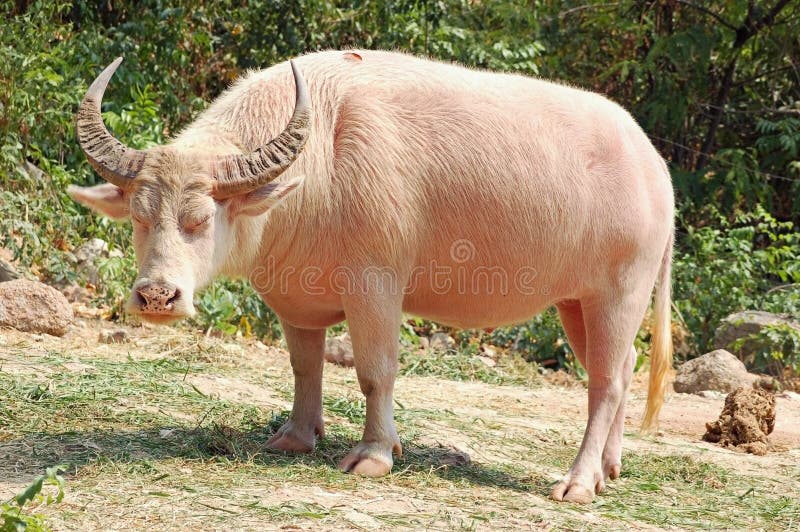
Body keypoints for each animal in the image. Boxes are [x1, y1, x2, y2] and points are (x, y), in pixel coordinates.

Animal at [69, 50, 672, 502]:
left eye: (199, 221)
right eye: (139, 219)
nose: (156, 296)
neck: (322, 161)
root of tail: (656, 169)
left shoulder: (375, 286)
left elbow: (375, 372)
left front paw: (375, 454)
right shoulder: (296, 295)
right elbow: (304, 366)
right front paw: (295, 436)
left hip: (620, 292)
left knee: (606, 383)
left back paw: (578, 482)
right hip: (576, 303)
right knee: (624, 368)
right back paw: (610, 467)